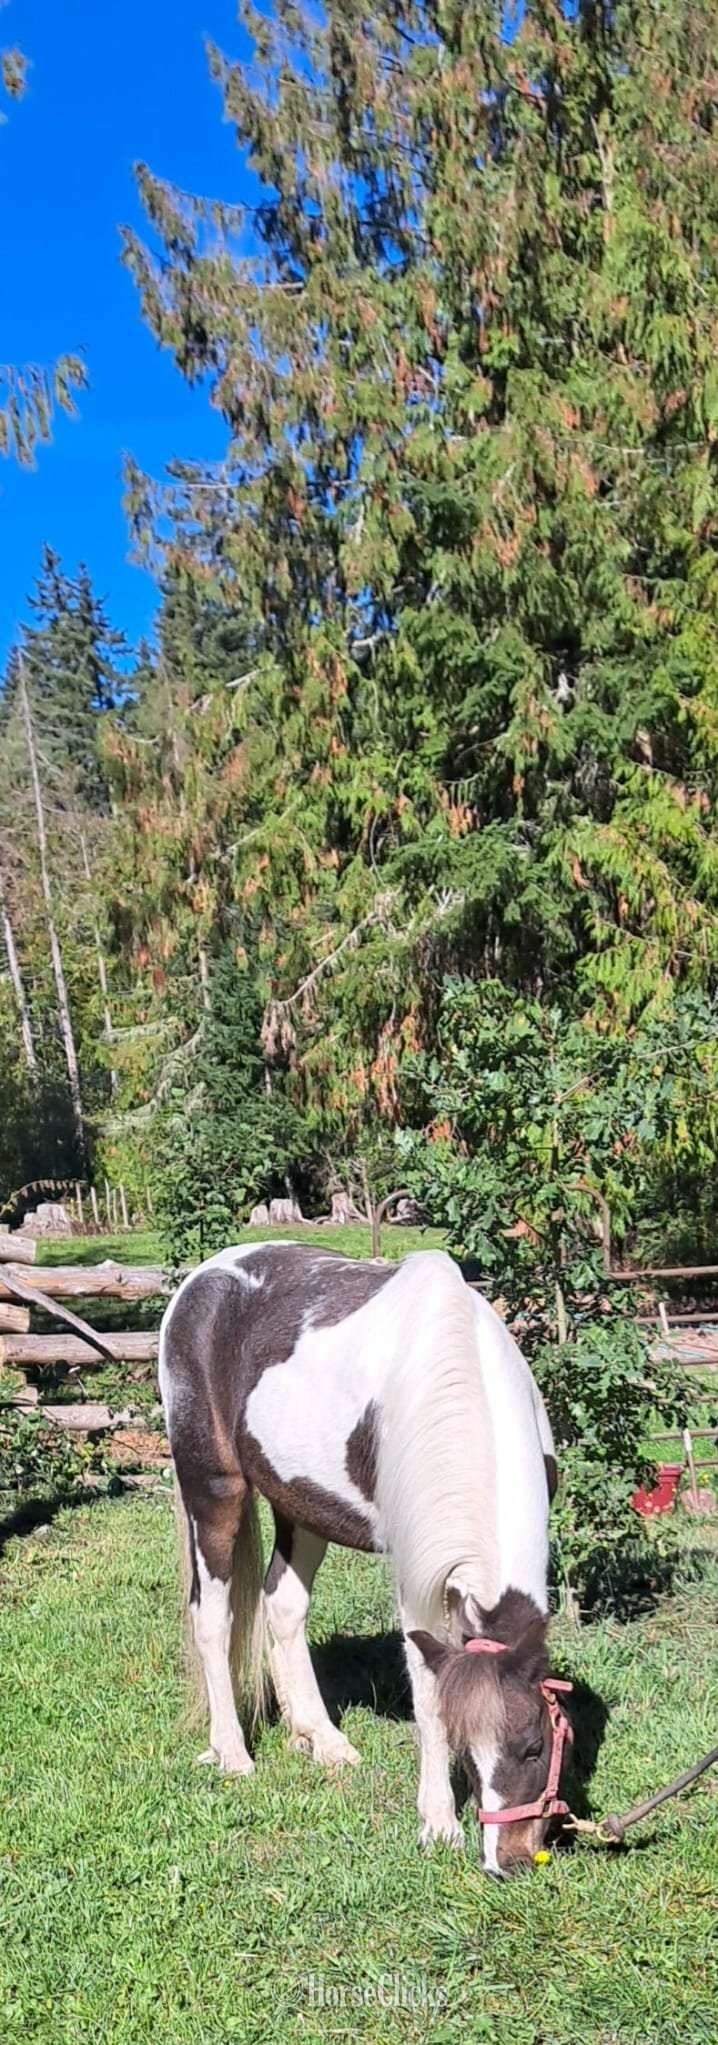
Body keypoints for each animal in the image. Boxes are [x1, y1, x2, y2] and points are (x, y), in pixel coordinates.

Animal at [158, 1242, 571, 1875]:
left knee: (283, 1606)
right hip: (214, 1491)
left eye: (535, 1745)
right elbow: (428, 1694)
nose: (511, 1859)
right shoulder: (418, 1577)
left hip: (300, 1508)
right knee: (213, 1619)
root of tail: (200, 1281)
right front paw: (438, 1823)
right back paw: (233, 1754)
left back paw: (320, 1740)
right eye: (470, 1750)